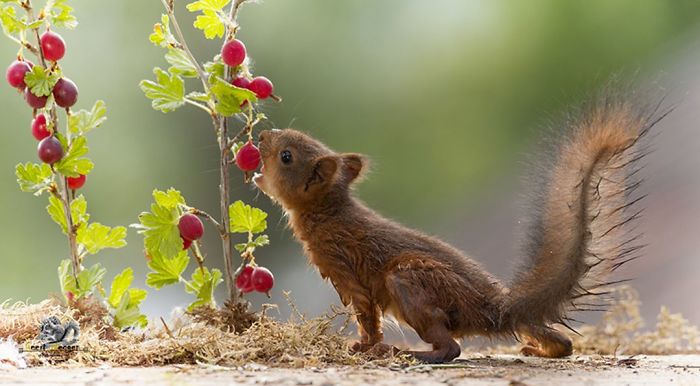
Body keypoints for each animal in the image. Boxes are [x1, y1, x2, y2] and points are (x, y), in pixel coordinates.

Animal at [252, 95, 668, 364]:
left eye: (287, 156)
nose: (262, 136)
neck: (329, 212)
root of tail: (493, 310)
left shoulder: (347, 270)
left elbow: (367, 317)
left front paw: (363, 347)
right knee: (561, 341)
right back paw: (541, 348)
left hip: (409, 280)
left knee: (451, 348)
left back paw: (411, 354)